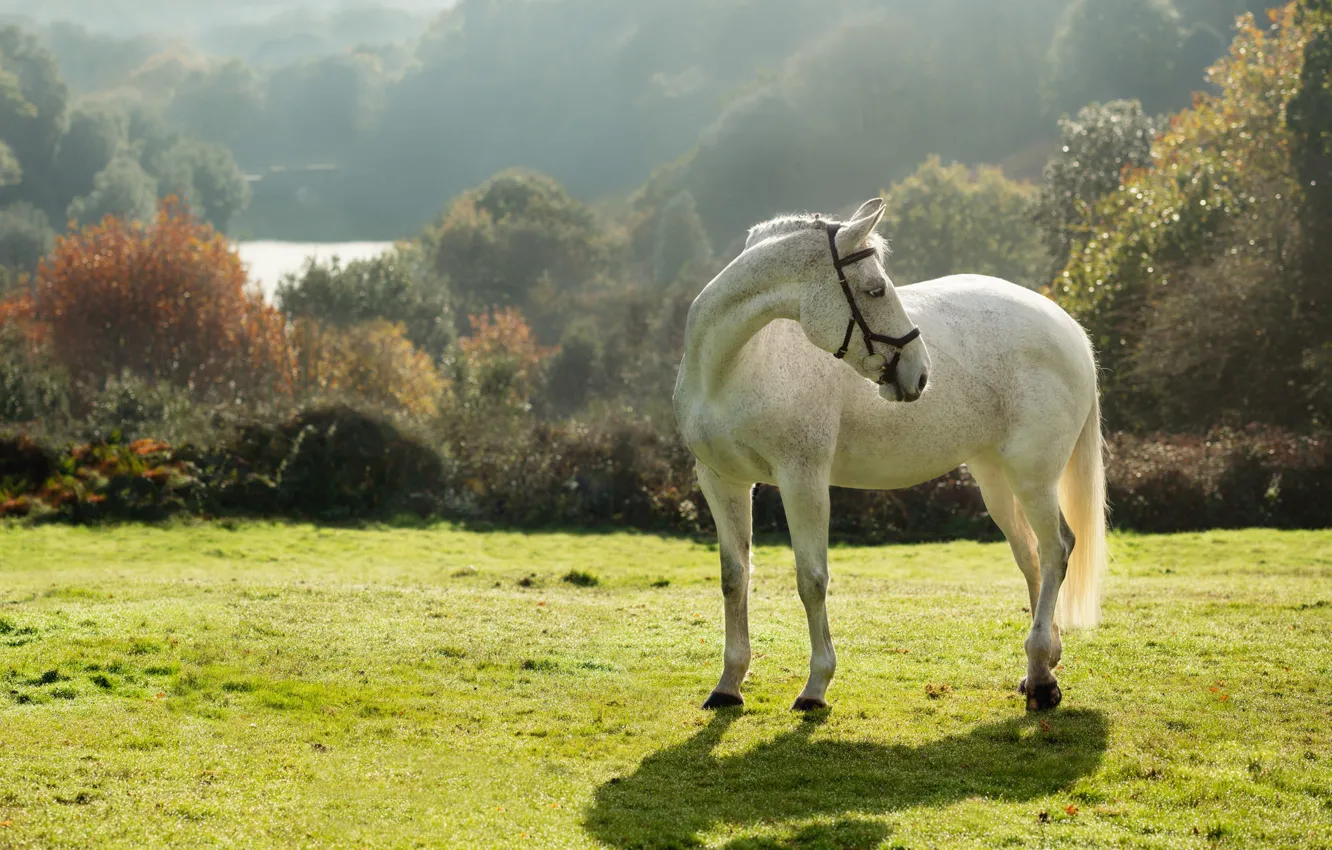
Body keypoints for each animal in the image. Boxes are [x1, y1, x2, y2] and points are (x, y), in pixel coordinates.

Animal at [673, 198, 1107, 713]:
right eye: (876, 289)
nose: (919, 373)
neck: (735, 364)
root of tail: (1067, 326)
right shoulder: (722, 481)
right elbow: (734, 577)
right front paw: (728, 684)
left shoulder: (803, 479)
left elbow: (811, 579)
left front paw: (815, 687)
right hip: (996, 479)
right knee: (1032, 556)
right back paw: (1043, 667)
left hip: (1034, 478)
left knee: (1056, 548)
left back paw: (1040, 678)